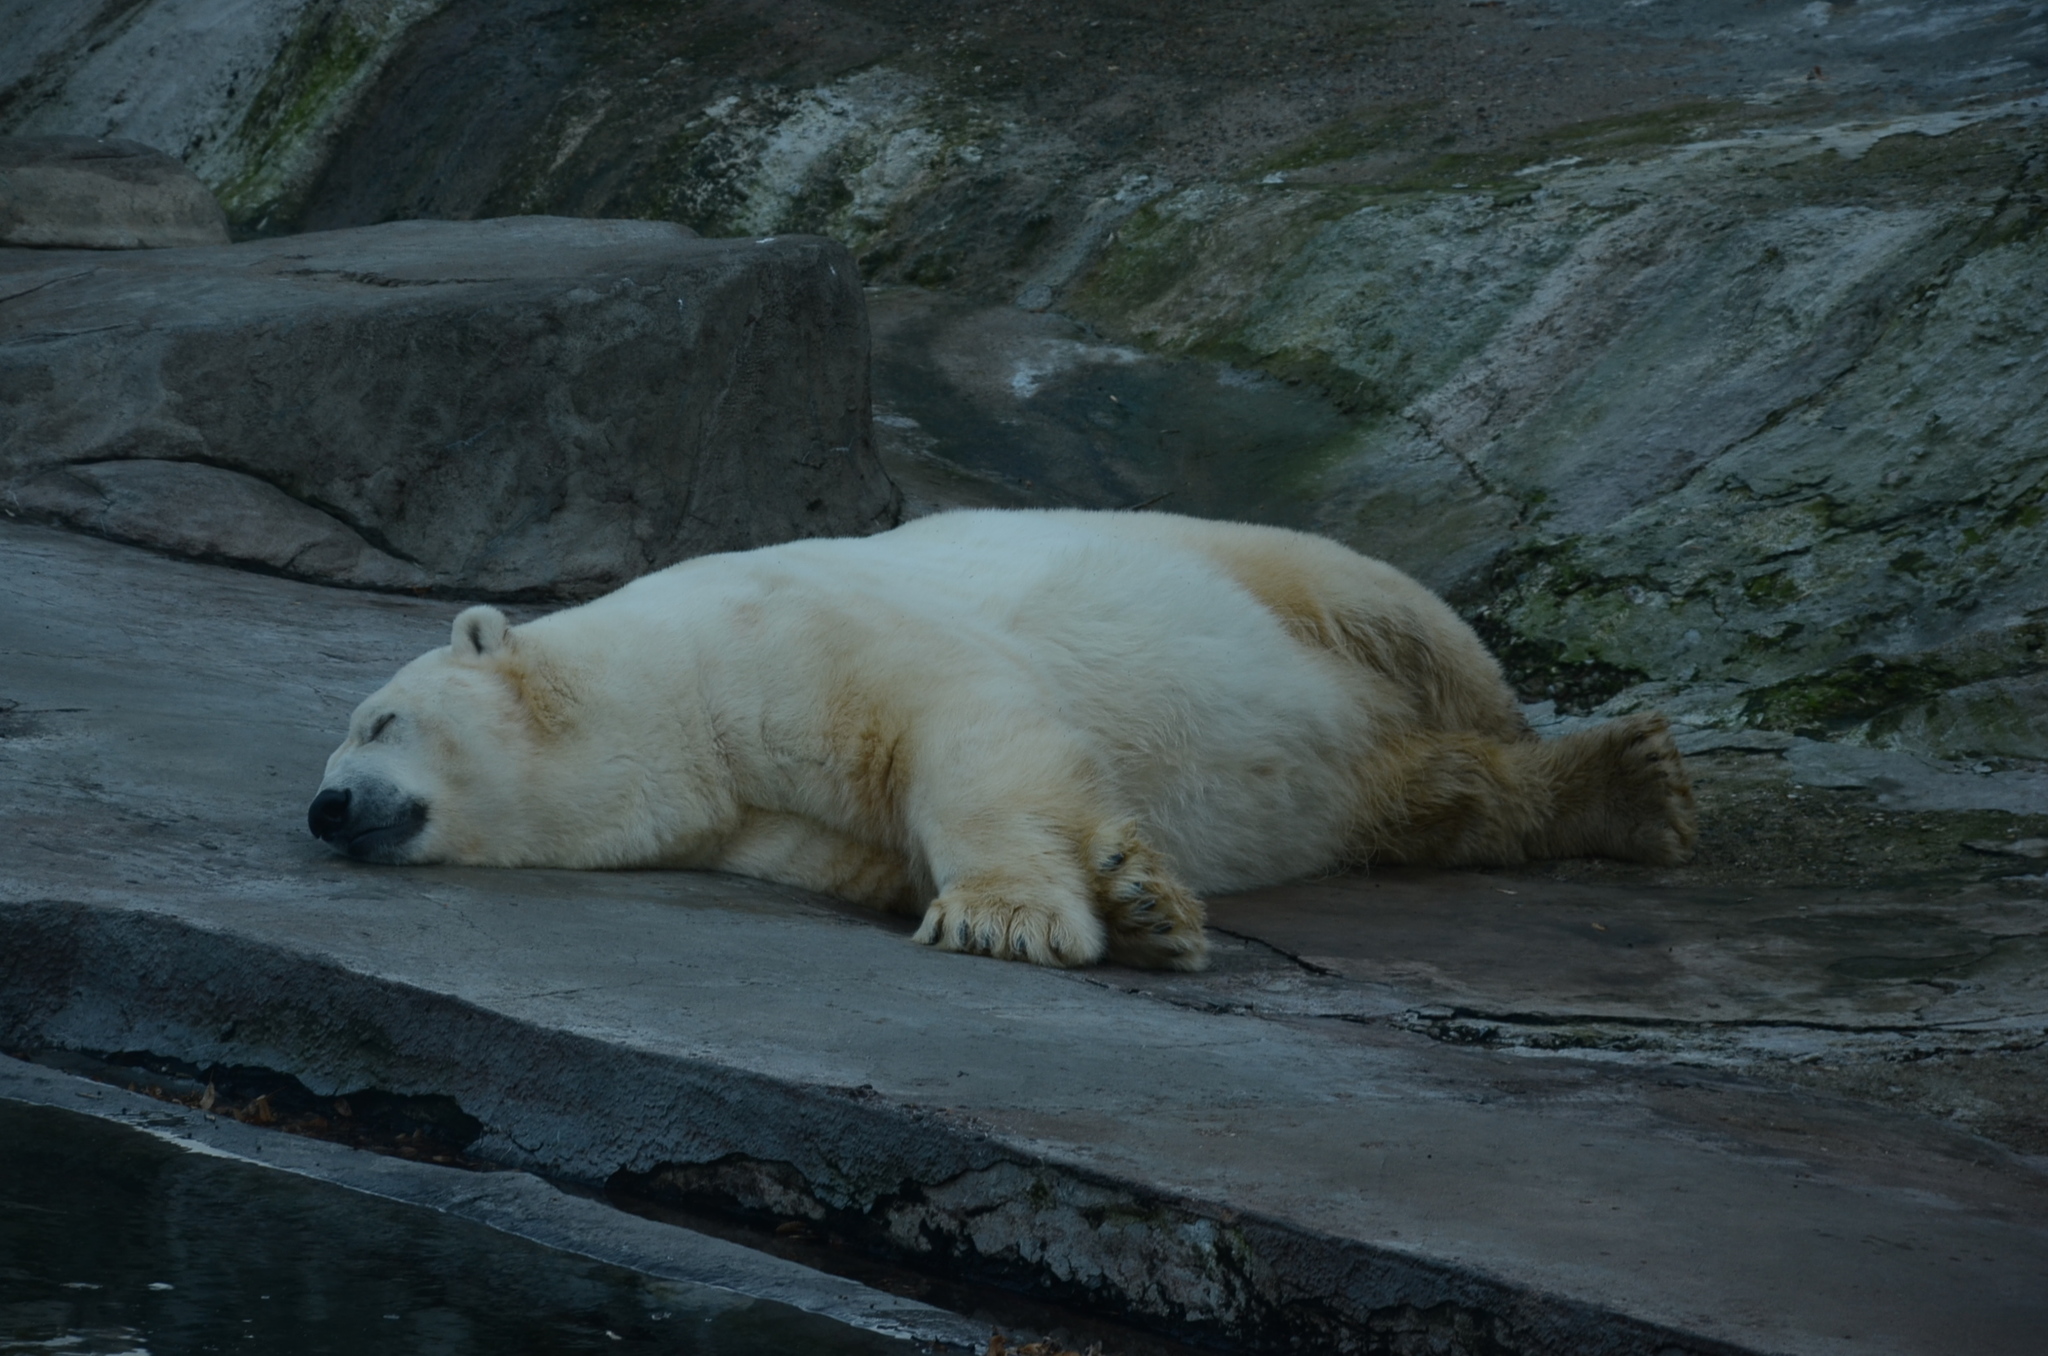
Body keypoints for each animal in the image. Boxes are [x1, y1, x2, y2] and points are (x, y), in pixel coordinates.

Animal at [307, 510, 1695, 966]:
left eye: (377, 718)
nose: (325, 809)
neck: (671, 691)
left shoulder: (792, 630)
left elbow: (967, 733)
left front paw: (1013, 918)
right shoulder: (764, 816)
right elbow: (867, 846)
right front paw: (1136, 903)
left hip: (1273, 574)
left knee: (1413, 632)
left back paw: (1619, 774)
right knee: (1422, 794)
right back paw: (1612, 793)